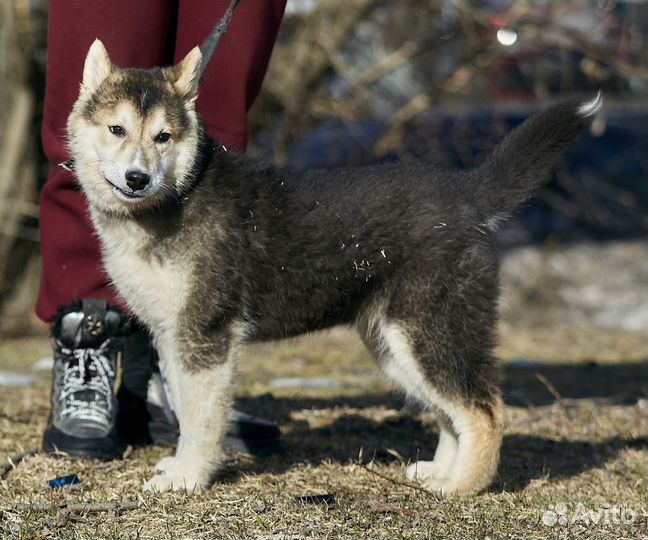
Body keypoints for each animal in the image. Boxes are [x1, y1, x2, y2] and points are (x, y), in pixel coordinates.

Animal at [66, 38, 604, 494]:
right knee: (450, 412)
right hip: (395, 344)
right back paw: (438, 474)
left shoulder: (205, 337)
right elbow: (181, 404)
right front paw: (178, 467)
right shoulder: (173, 336)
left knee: (483, 411)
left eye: (163, 137)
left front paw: (187, 478)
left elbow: (201, 420)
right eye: (116, 130)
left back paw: (462, 487)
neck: (175, 198)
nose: (137, 178)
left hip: (428, 331)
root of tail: (466, 193)